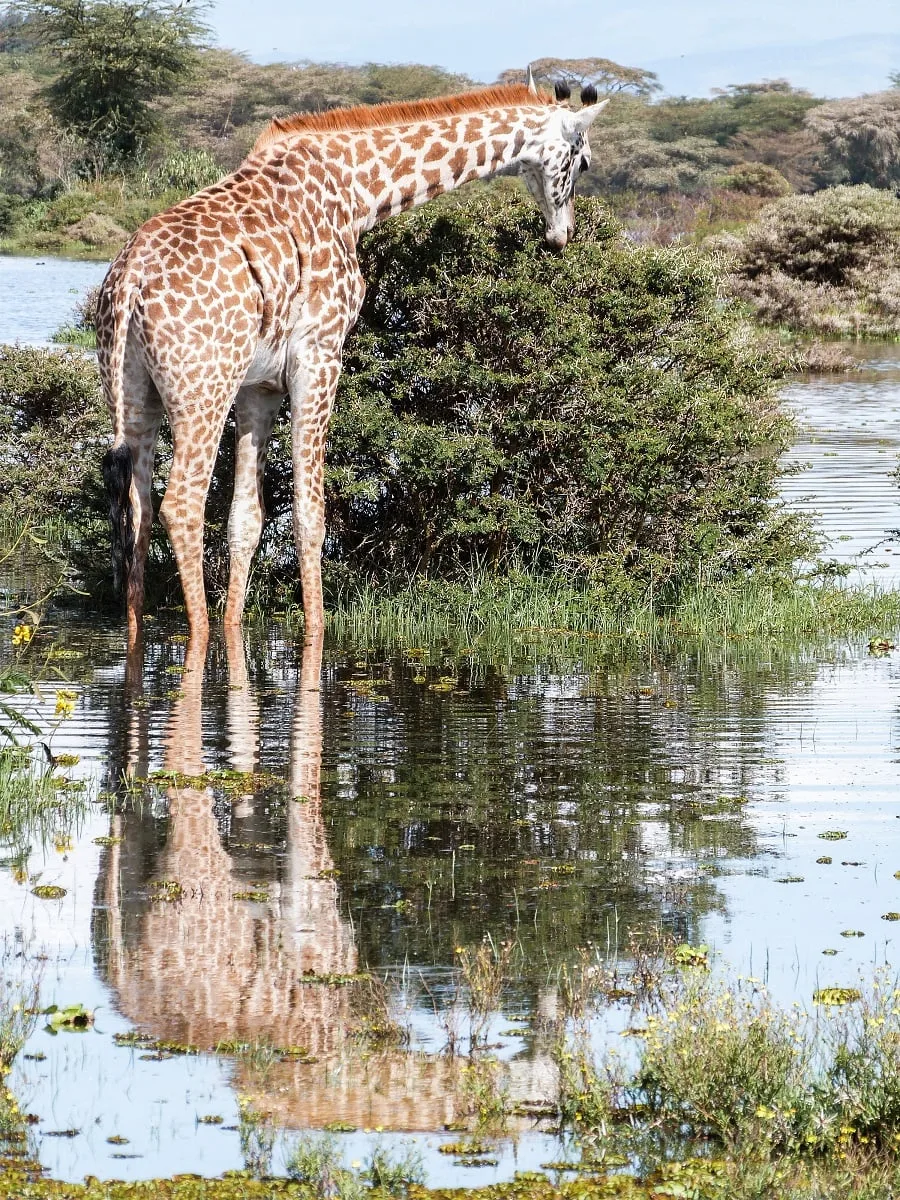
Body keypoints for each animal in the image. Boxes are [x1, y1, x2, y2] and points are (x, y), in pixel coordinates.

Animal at [97, 78, 608, 652]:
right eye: (584, 162)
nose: (560, 236)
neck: (358, 191)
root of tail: (130, 280)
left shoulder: (260, 385)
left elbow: (247, 519)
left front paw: (236, 628)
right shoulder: (319, 355)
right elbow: (311, 514)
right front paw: (315, 629)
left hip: (133, 394)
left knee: (137, 505)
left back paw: (141, 627)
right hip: (204, 388)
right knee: (180, 504)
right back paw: (200, 631)